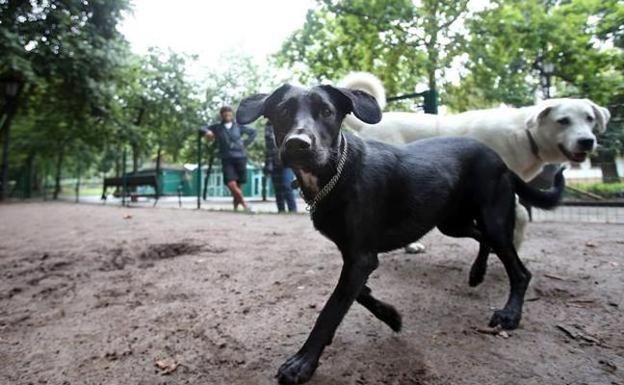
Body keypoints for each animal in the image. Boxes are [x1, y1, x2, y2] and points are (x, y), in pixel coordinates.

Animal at [235, 85, 564, 384]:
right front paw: (391, 315)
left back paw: (510, 314)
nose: (298, 144)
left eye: (326, 112)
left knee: (519, 271)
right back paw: (477, 273)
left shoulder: (361, 258)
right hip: (452, 222)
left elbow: (331, 310)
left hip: (492, 218)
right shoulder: (356, 256)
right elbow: (357, 295)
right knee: (483, 239)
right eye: (283, 112)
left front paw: (302, 363)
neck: (337, 172)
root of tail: (501, 161)